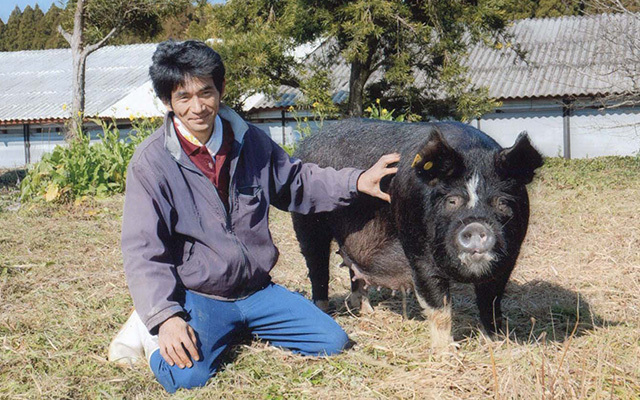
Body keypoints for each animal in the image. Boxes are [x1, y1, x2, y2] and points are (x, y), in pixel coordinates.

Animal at [292, 119, 544, 350]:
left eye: (502, 202)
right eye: (452, 200)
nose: (476, 226)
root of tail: (306, 143)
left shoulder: (509, 258)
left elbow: (491, 303)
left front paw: (497, 342)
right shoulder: (418, 251)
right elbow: (439, 306)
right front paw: (446, 353)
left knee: (355, 272)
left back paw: (367, 312)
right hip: (307, 224)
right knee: (317, 269)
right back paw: (323, 312)